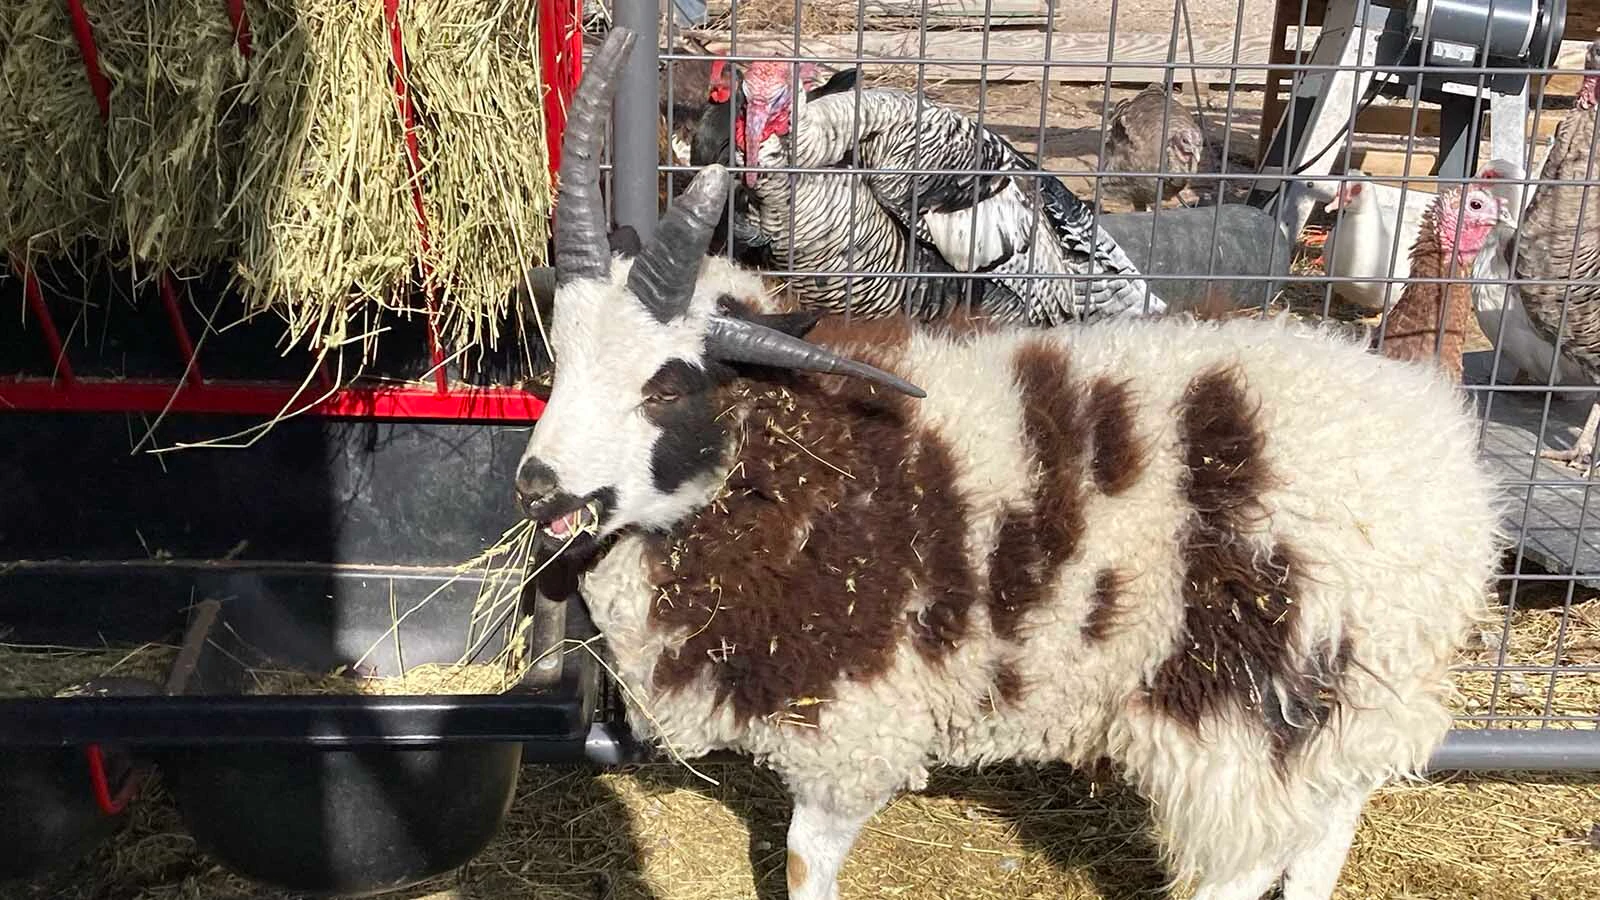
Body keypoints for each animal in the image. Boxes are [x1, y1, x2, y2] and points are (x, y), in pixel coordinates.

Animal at [516, 28, 1507, 900]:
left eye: (668, 385)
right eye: (561, 355)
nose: (537, 487)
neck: (778, 447)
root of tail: (1447, 474)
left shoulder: (856, 723)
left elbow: (804, 864)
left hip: (1241, 701)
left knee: (1243, 862)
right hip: (1344, 701)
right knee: (1327, 827)